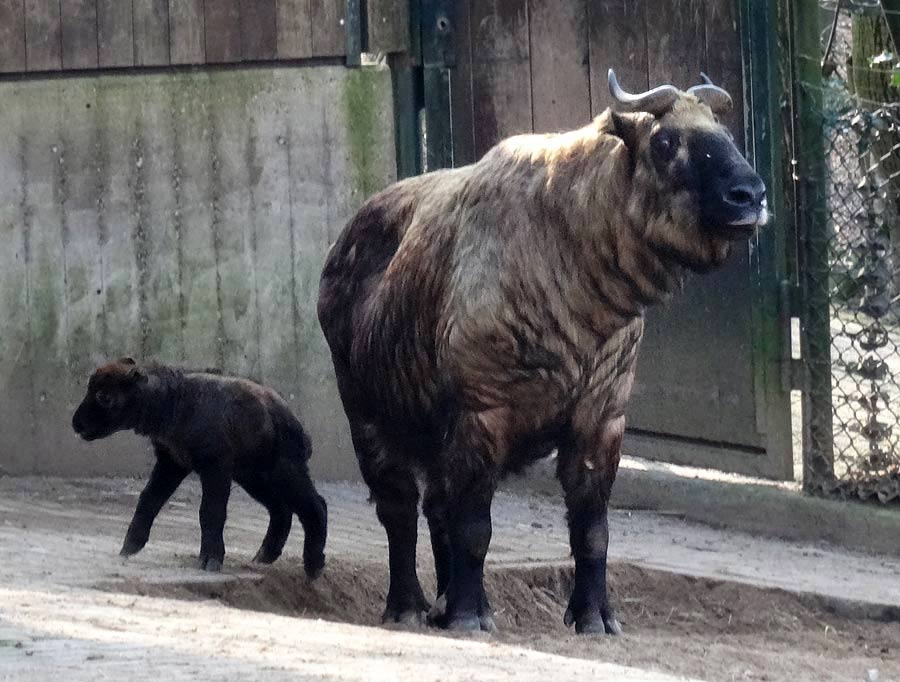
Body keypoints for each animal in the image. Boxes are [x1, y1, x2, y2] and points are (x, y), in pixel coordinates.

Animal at [73, 356, 326, 572]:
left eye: (104, 397)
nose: (77, 424)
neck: (174, 400)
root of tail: (295, 423)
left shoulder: (215, 466)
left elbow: (210, 511)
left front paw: (210, 559)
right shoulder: (171, 462)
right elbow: (149, 499)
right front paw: (129, 548)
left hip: (283, 471)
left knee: (315, 505)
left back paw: (313, 566)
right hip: (254, 476)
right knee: (281, 509)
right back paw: (263, 557)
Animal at [318, 70, 768, 632]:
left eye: (722, 133)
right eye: (666, 142)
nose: (750, 196)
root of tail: (341, 245)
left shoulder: (602, 422)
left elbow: (592, 532)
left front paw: (593, 616)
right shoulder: (481, 416)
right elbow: (474, 528)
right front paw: (471, 614)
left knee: (436, 509)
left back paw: (442, 601)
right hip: (369, 421)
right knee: (399, 511)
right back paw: (409, 604)